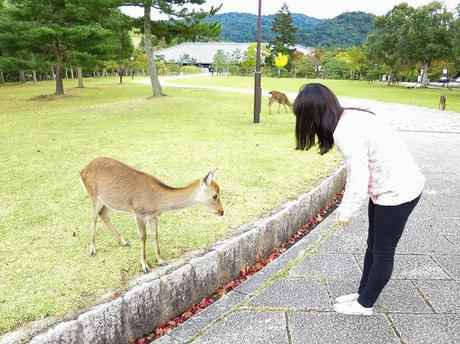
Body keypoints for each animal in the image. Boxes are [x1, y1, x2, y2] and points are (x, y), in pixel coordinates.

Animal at [80, 157, 224, 272]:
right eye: (215, 195)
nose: (222, 212)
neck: (157, 200)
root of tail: (82, 171)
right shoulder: (138, 213)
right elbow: (143, 237)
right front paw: (145, 267)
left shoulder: (153, 216)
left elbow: (155, 235)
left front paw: (161, 260)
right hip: (94, 195)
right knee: (93, 217)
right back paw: (92, 250)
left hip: (110, 201)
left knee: (103, 214)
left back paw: (124, 242)